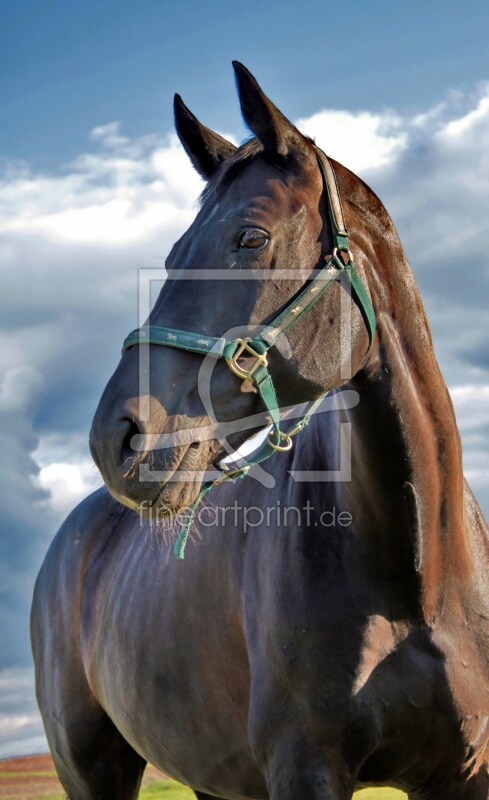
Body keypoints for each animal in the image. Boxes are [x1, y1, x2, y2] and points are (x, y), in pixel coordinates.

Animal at [30, 62, 488, 800]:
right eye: (172, 254)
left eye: (249, 238)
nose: (116, 438)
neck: (418, 575)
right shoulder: (303, 768)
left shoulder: (465, 769)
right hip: (90, 769)